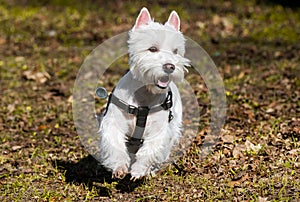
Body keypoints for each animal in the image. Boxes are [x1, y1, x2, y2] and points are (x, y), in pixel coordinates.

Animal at [98, 7, 190, 180]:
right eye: (152, 49)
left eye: (175, 51)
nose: (170, 66)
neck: (144, 98)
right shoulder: (113, 122)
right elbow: (115, 144)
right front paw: (119, 167)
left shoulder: (160, 129)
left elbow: (150, 149)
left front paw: (139, 170)